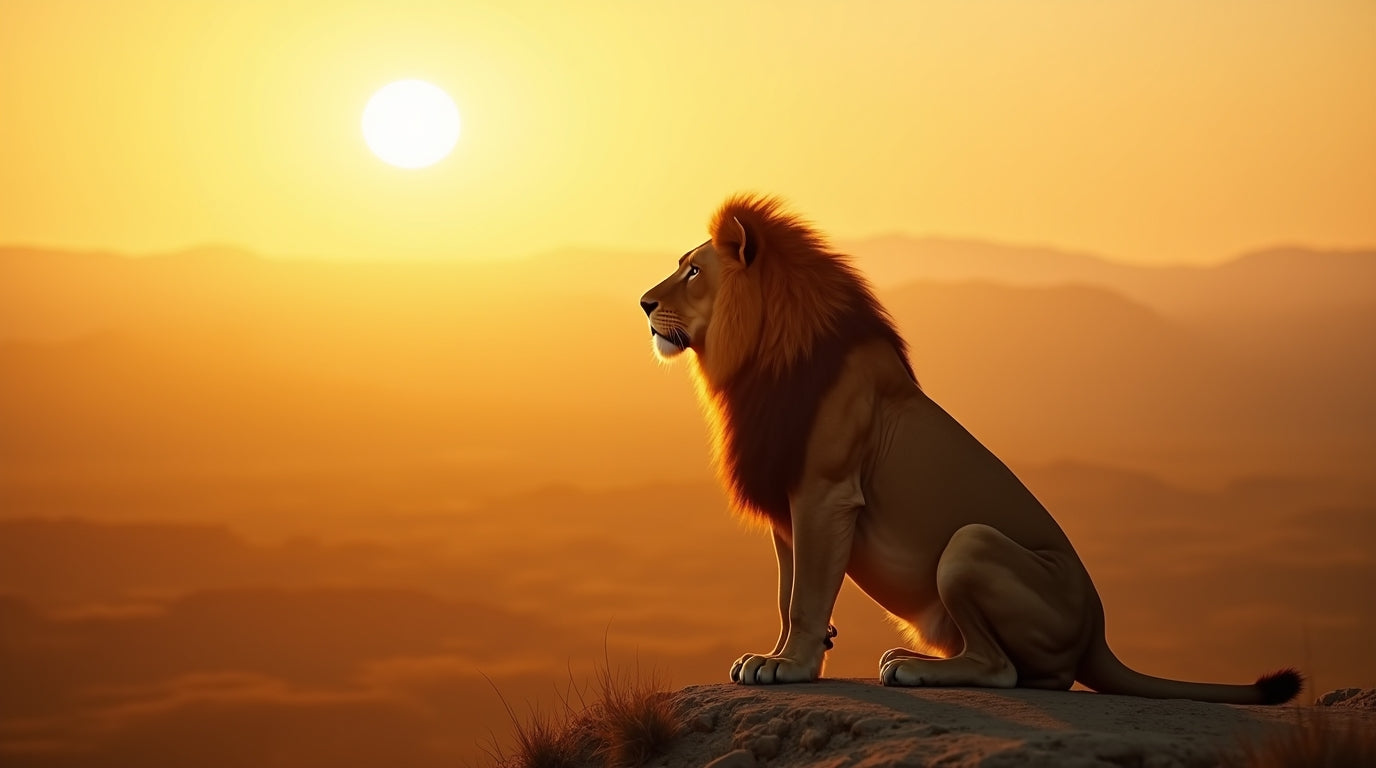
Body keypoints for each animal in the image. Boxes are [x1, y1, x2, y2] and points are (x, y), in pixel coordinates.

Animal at [638, 194, 1302, 704]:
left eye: (693, 271)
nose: (644, 304)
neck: (756, 360)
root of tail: (1097, 631)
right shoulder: (787, 500)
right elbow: (786, 593)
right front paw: (774, 656)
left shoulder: (827, 493)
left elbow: (806, 596)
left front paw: (792, 666)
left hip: (970, 544)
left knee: (1009, 671)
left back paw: (914, 667)